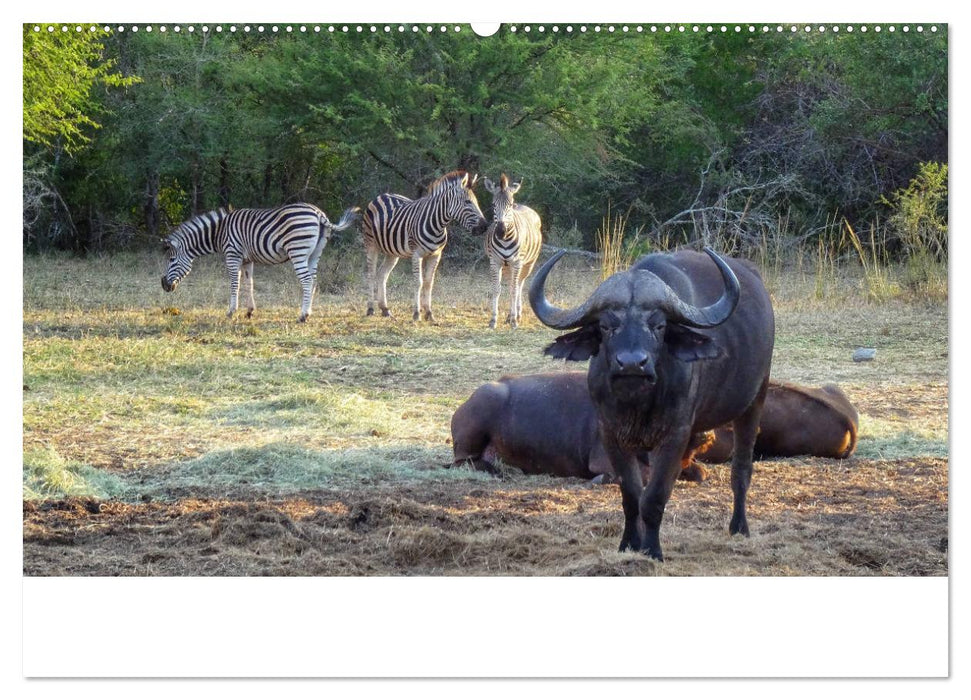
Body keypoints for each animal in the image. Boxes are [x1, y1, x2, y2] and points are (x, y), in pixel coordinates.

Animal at [163, 202, 360, 322]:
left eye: (171, 260)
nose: (164, 285)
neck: (220, 232)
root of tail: (319, 214)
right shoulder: (247, 259)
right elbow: (248, 283)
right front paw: (250, 311)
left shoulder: (233, 255)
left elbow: (234, 283)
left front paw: (231, 312)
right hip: (314, 254)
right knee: (314, 280)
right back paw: (308, 312)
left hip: (298, 251)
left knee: (307, 280)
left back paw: (303, 315)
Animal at [362, 170, 490, 322]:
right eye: (467, 202)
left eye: (476, 202)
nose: (484, 227)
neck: (438, 224)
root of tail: (381, 195)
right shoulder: (417, 254)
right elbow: (419, 282)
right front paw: (416, 314)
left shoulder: (436, 255)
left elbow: (429, 283)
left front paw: (429, 313)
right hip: (371, 244)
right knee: (370, 274)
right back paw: (370, 309)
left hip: (392, 252)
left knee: (382, 274)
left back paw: (385, 309)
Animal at [482, 174, 544, 330]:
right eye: (493, 205)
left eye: (509, 205)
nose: (501, 231)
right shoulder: (495, 262)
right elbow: (496, 289)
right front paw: (493, 320)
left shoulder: (517, 262)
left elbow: (514, 290)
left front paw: (514, 321)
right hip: (506, 267)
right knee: (512, 283)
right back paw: (510, 315)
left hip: (528, 264)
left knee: (519, 285)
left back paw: (517, 315)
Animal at [528, 249, 780, 560]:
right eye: (606, 326)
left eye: (659, 326)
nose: (631, 364)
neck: (638, 403)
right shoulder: (611, 433)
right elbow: (631, 496)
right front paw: (629, 543)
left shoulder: (674, 435)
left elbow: (655, 497)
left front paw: (652, 550)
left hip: (755, 401)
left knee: (741, 468)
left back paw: (739, 526)